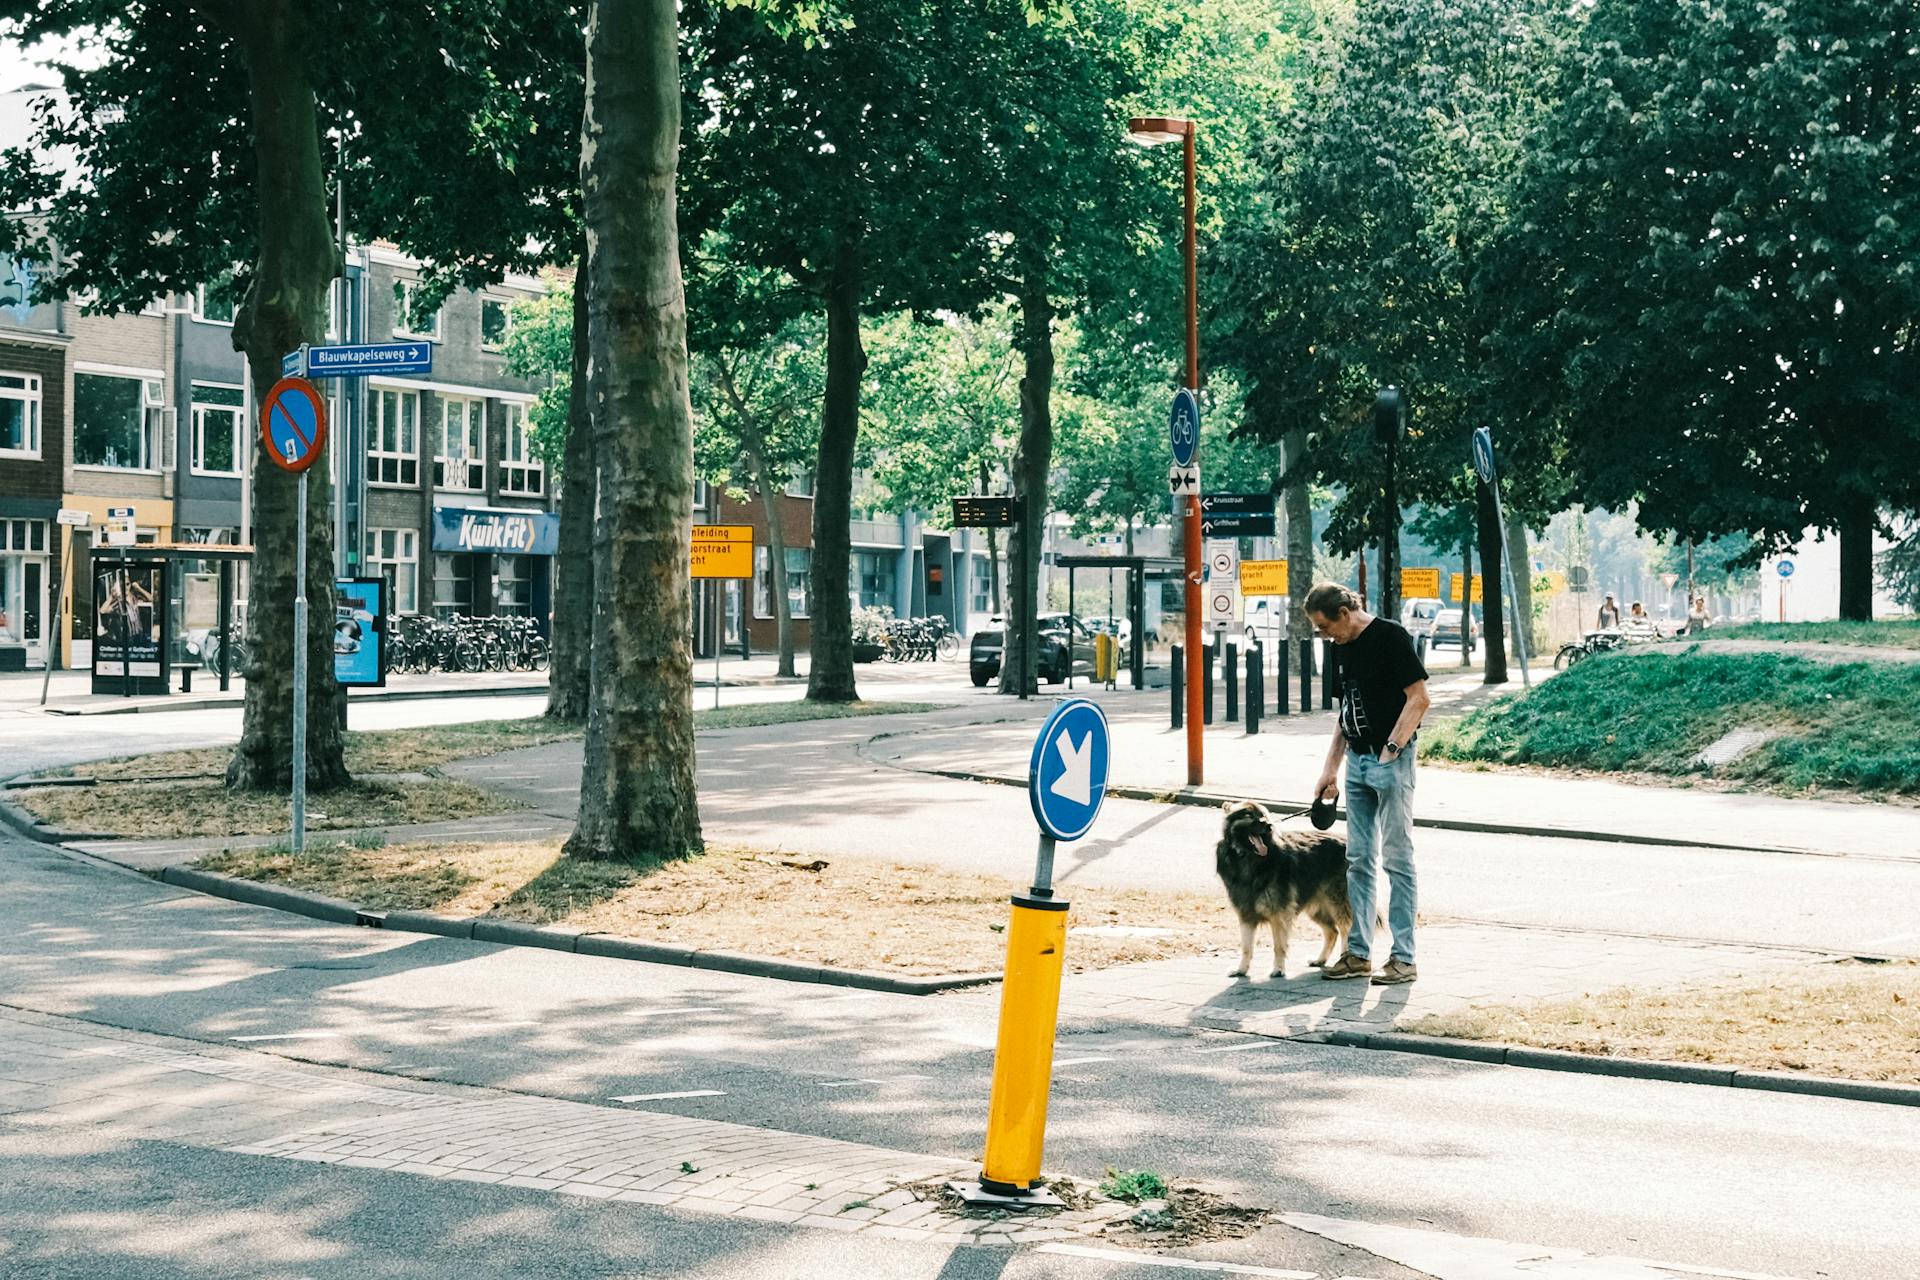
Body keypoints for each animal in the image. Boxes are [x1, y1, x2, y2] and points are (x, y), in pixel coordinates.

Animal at [1213, 802, 1351, 982]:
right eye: (1249, 815)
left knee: (1346, 929)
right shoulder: (1246, 916)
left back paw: (1346, 960)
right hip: (1316, 907)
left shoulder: (1278, 915)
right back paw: (1319, 960)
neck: (1250, 860)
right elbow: (1246, 947)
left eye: (1263, 815)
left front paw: (1278, 969)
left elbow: (1278, 946)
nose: (1268, 825)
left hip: (1337, 902)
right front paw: (1241, 970)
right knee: (1332, 932)